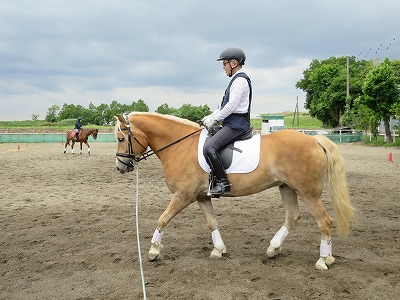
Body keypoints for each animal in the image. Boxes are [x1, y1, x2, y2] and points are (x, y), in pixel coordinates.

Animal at [113, 112, 356, 270]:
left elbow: (162, 219)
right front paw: (218, 250)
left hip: (308, 191)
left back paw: (323, 260)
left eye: (120, 138)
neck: (179, 146)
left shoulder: (183, 196)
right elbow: (212, 223)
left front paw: (154, 251)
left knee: (324, 221)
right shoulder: (201, 197)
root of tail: (315, 139)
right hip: (287, 187)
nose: (121, 167)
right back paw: (274, 249)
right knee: (292, 217)